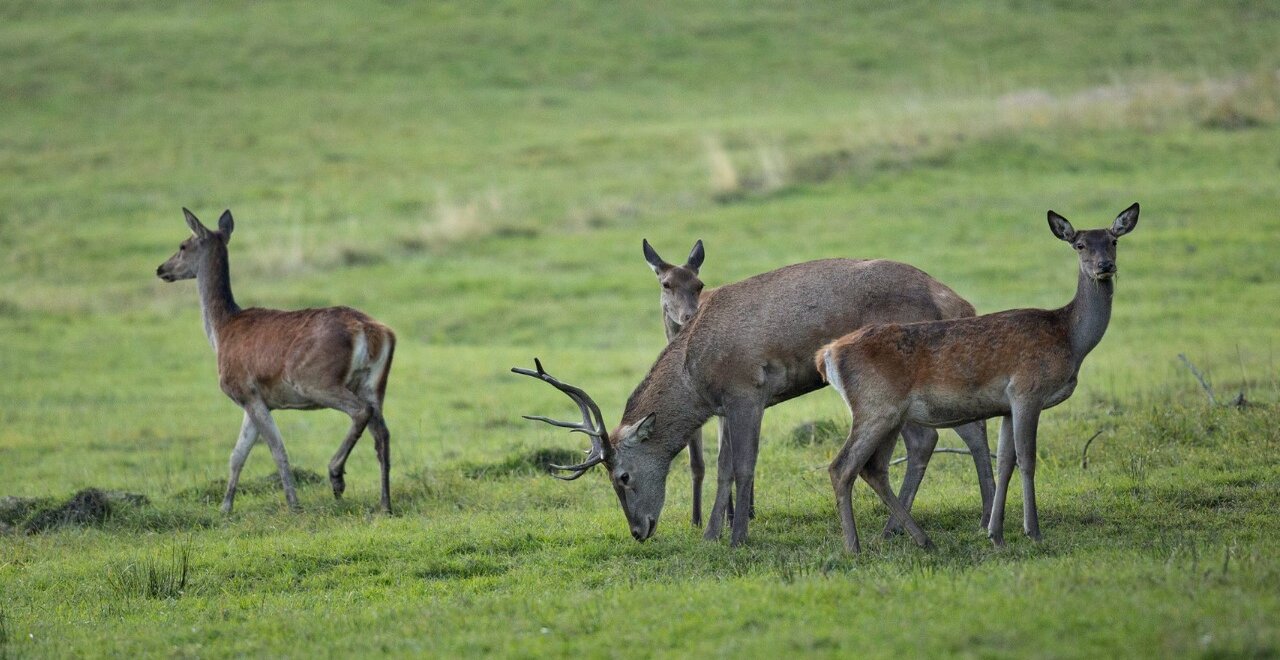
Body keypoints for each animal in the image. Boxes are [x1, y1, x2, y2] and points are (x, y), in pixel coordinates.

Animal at [156, 208, 394, 514]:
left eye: (183, 245)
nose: (161, 269)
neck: (221, 332)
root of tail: (370, 330)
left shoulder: (247, 392)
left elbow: (277, 449)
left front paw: (294, 505)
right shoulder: (254, 400)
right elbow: (237, 454)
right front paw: (225, 509)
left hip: (316, 380)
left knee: (360, 412)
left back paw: (336, 476)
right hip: (374, 382)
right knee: (382, 434)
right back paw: (384, 504)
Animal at [514, 257, 993, 547]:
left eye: (623, 476)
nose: (638, 530)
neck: (694, 374)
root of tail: (956, 299)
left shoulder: (747, 390)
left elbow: (744, 465)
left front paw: (738, 536)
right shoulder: (729, 404)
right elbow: (724, 467)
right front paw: (711, 534)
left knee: (948, 436)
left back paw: (955, 523)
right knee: (949, 435)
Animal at [814, 202, 1136, 552]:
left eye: (1113, 241)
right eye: (1080, 245)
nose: (1105, 266)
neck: (1070, 340)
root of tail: (827, 355)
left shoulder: (1007, 405)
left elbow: (1005, 461)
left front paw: (996, 533)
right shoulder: (1027, 390)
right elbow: (1027, 459)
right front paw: (1033, 531)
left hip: (889, 414)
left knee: (873, 468)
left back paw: (921, 539)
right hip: (876, 407)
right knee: (842, 467)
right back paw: (854, 547)